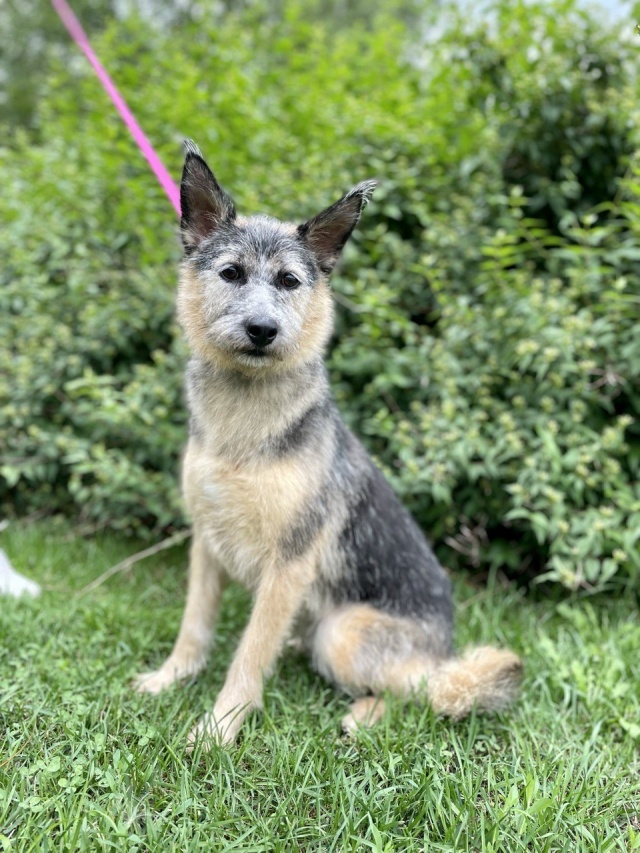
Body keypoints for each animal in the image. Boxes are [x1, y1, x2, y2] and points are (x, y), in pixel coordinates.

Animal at [134, 141, 522, 747]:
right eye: (231, 273)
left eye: (290, 281)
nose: (263, 330)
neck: (244, 422)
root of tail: (442, 649)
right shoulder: (206, 542)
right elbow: (194, 627)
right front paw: (172, 677)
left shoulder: (289, 565)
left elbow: (249, 653)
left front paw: (221, 727)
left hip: (344, 634)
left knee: (426, 693)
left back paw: (366, 716)